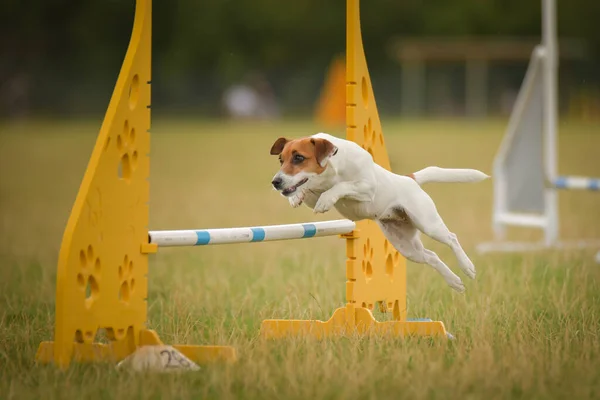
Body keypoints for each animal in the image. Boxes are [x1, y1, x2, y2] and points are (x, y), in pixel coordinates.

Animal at [270, 133, 490, 292]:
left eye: (299, 158)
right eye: (281, 160)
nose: (275, 182)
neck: (330, 173)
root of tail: (409, 179)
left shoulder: (367, 188)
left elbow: (342, 186)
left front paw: (326, 198)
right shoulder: (313, 194)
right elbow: (307, 191)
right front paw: (295, 197)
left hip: (428, 223)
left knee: (451, 238)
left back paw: (467, 267)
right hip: (406, 245)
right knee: (431, 256)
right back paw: (454, 282)